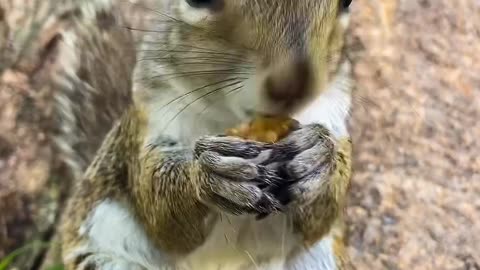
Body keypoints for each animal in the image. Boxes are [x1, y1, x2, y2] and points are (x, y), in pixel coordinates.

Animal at [56, 0, 354, 268]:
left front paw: (318, 159)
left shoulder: (334, 111)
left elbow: (318, 221)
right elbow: (162, 213)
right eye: (199, 0)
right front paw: (212, 173)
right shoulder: (150, 121)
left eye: (347, 2)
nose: (293, 86)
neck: (232, 118)